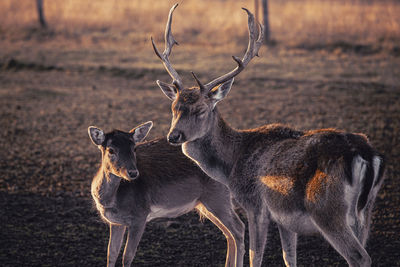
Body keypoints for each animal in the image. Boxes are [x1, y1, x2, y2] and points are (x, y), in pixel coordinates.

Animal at [88, 122, 244, 267]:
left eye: (134, 148)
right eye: (111, 150)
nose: (133, 173)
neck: (112, 201)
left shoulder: (140, 216)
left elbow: (127, 256)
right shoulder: (116, 222)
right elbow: (111, 253)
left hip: (218, 197)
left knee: (239, 228)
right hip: (206, 204)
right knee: (228, 233)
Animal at [152, 4, 386, 267]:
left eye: (201, 110)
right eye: (174, 108)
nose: (174, 136)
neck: (232, 164)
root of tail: (367, 155)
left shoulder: (255, 205)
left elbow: (255, 255)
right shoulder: (285, 219)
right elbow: (289, 256)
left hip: (327, 208)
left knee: (359, 256)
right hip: (366, 210)